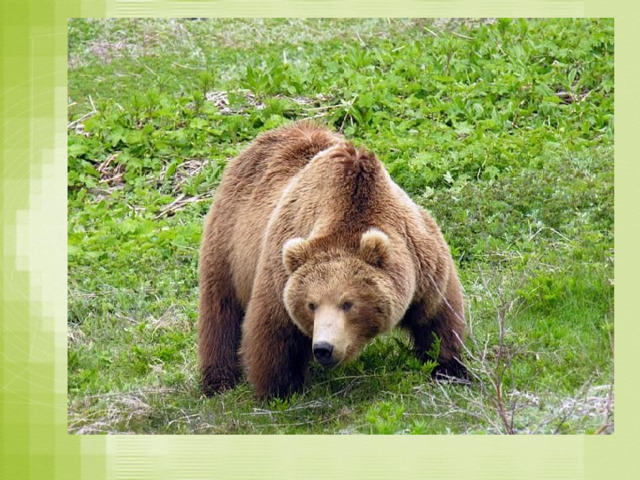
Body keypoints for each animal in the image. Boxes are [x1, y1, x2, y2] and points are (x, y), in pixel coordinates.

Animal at [199, 120, 464, 398]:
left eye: (348, 303)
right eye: (311, 304)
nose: (323, 348)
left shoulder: (422, 260)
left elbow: (437, 316)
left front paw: (449, 369)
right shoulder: (280, 269)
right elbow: (274, 330)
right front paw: (280, 390)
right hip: (228, 241)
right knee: (220, 311)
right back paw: (218, 380)